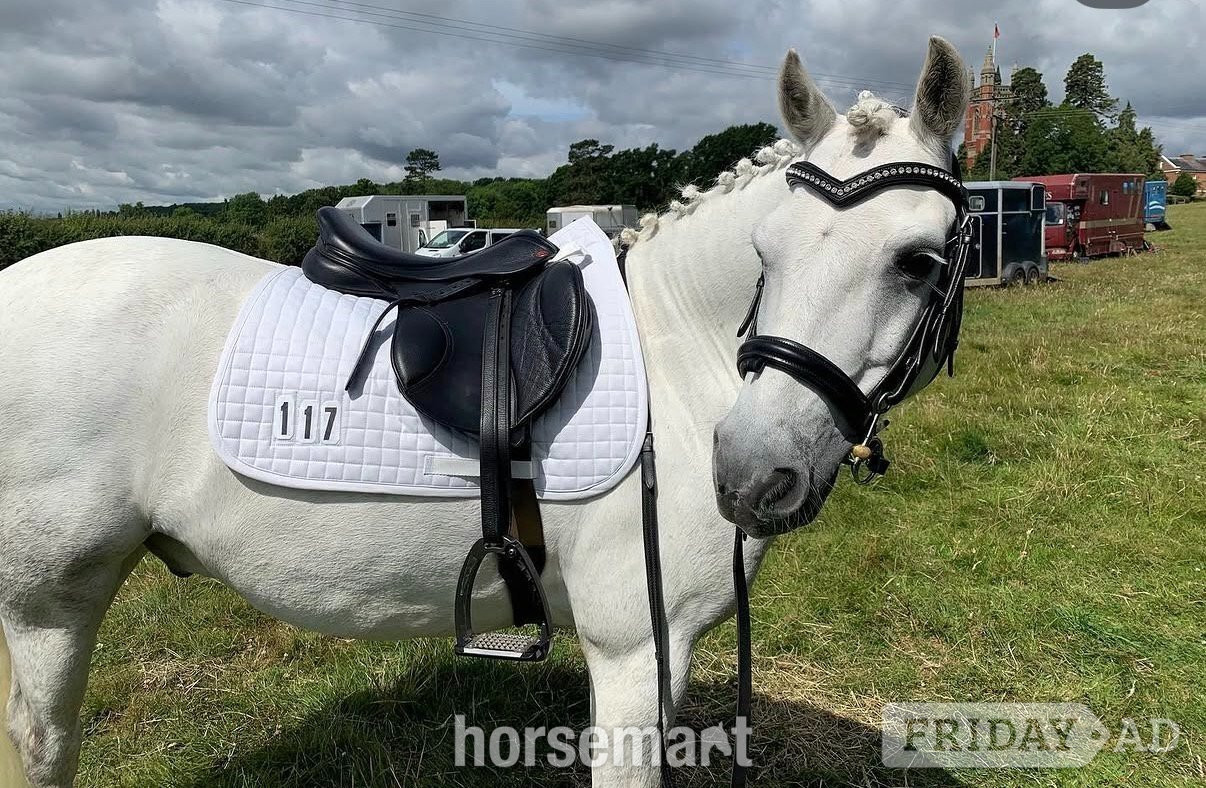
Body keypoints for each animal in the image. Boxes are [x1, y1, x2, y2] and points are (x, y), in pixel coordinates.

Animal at [0, 36, 969, 787]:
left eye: (919, 262)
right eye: (766, 254)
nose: (750, 469)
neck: (676, 358)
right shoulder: (636, 651)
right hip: (48, 608)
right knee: (42, 746)